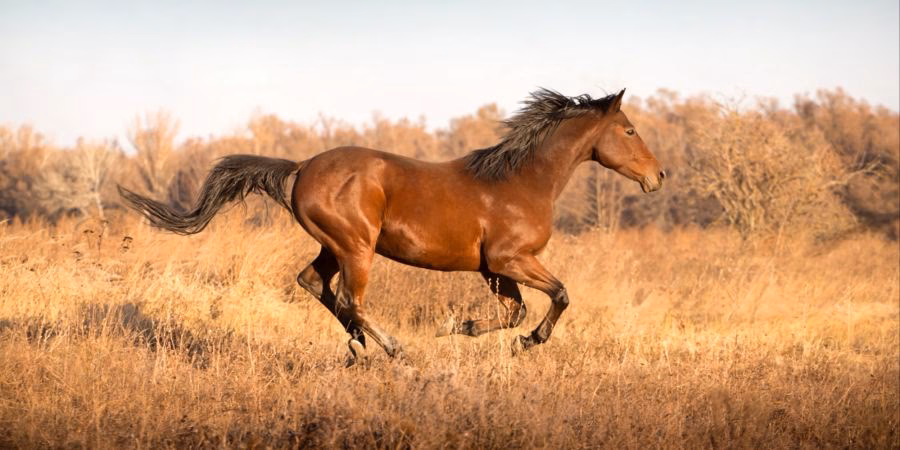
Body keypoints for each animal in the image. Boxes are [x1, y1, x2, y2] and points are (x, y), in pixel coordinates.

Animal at [118, 88, 665, 362]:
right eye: (629, 130)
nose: (657, 176)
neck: (520, 181)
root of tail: (303, 166)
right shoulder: (512, 259)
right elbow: (560, 295)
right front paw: (527, 341)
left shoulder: (495, 268)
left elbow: (513, 312)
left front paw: (464, 327)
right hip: (356, 247)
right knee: (349, 299)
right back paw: (392, 349)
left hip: (335, 246)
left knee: (314, 284)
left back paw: (358, 347)